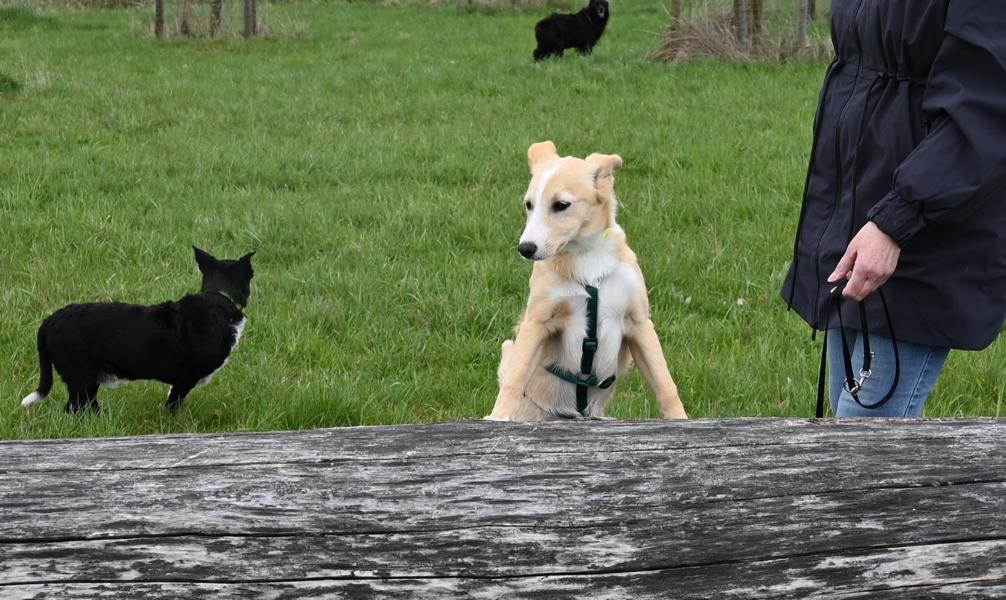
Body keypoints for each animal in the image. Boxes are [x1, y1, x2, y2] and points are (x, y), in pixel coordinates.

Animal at [21, 247, 254, 414]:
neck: (218, 296)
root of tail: (50, 320)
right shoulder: (184, 379)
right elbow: (172, 406)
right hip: (82, 379)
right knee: (76, 409)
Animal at [486, 141, 687, 421]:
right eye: (529, 204)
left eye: (561, 205)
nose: (525, 248)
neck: (586, 256)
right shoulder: (537, 322)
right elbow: (514, 378)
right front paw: (498, 418)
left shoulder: (639, 323)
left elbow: (665, 384)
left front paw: (681, 419)